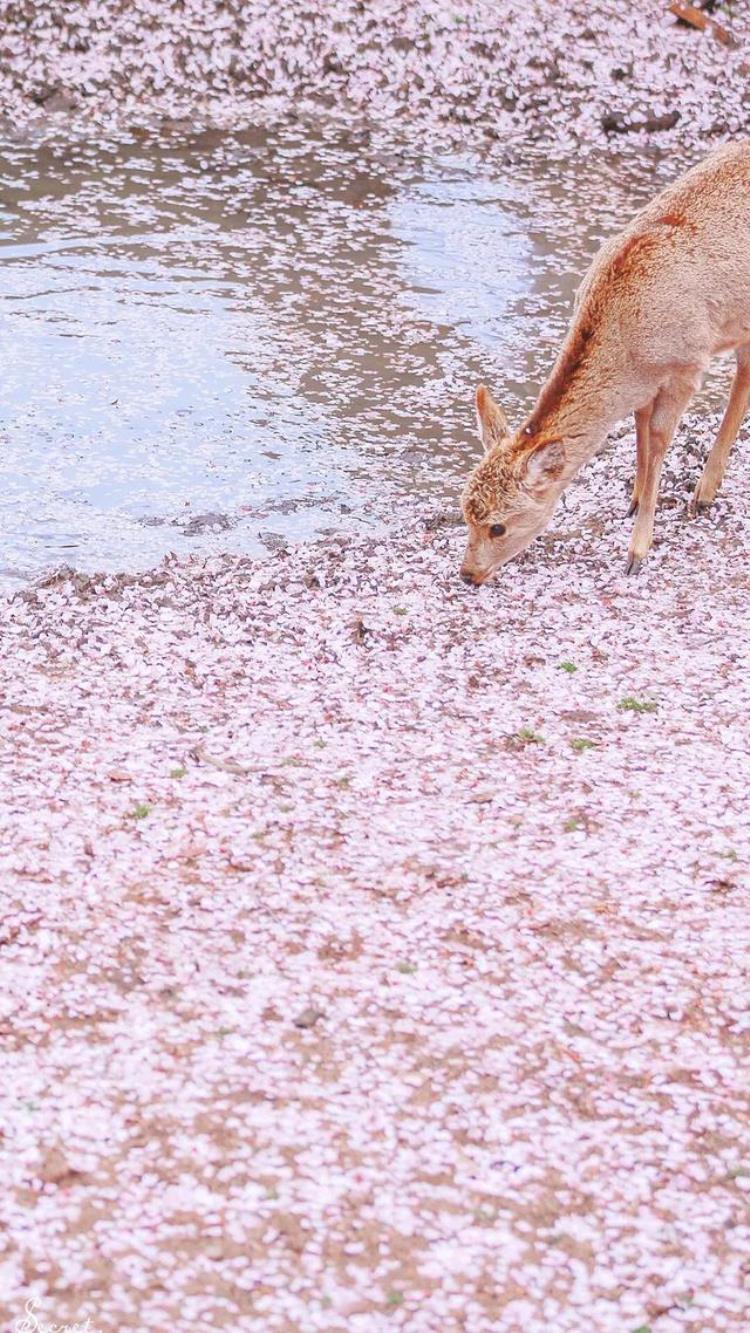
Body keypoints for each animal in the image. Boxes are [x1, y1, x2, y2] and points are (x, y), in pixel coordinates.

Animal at [460, 136, 750, 589]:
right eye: (463, 512)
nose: (467, 574)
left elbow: (659, 439)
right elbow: (640, 427)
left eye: (498, 526)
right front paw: (632, 499)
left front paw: (637, 552)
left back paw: (703, 493)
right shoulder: (646, 384)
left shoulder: (689, 363)